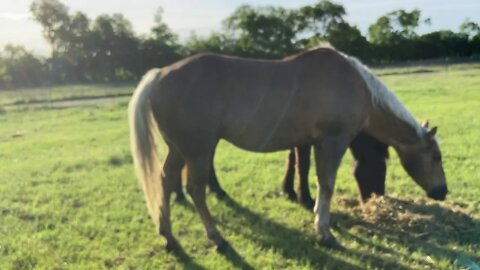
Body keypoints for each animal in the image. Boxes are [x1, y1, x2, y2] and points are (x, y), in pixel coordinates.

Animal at [127, 46, 446, 251]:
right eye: (436, 156)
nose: (442, 191)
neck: (357, 86)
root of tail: (160, 74)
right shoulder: (332, 141)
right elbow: (325, 184)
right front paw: (324, 232)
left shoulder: (310, 143)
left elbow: (307, 174)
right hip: (198, 150)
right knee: (196, 189)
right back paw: (217, 238)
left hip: (179, 148)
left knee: (166, 180)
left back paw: (168, 236)